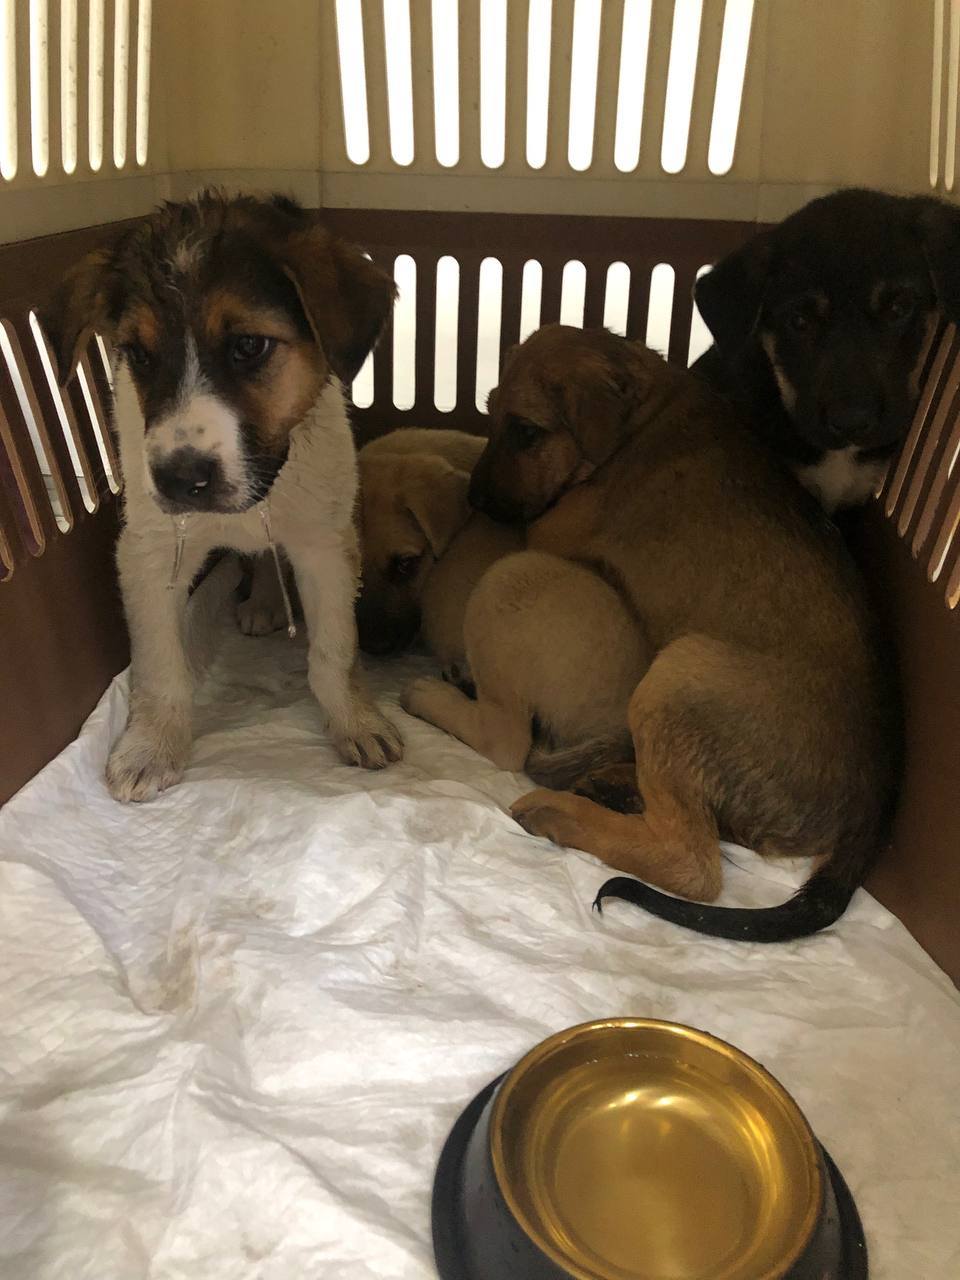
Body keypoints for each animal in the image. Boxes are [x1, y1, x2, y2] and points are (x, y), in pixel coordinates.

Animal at [41, 191, 403, 802]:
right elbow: (160, 665)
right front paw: (150, 747)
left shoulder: (325, 544)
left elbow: (334, 651)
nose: (179, 479)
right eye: (138, 355)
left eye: (248, 346)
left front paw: (356, 721)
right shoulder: (149, 551)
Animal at [460, 325, 901, 942]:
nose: (473, 501)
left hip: (679, 675)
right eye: (489, 410)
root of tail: (872, 804)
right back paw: (611, 784)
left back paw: (561, 813)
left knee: (689, 862)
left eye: (526, 431)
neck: (639, 417)